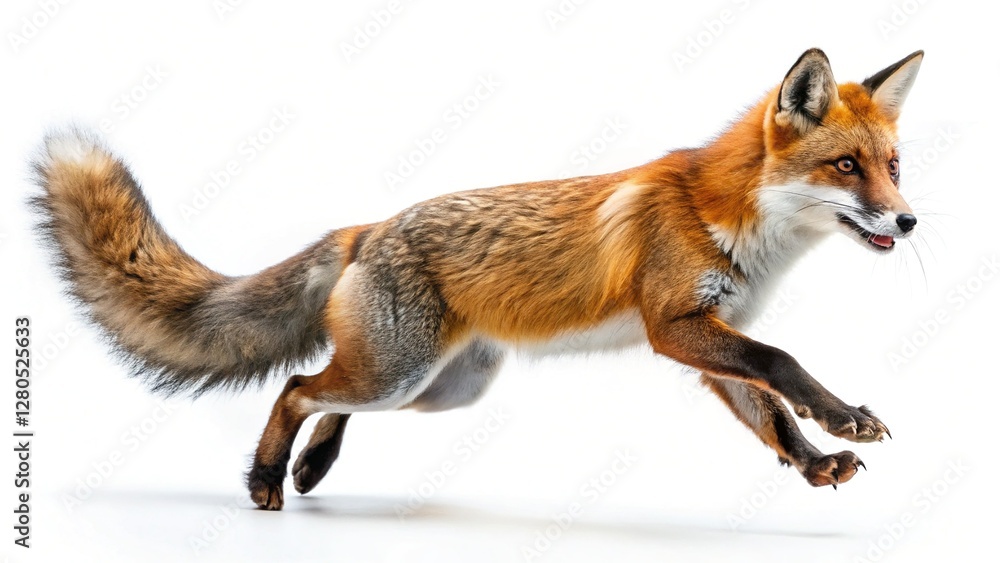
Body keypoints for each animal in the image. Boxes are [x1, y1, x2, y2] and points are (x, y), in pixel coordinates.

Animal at [32, 48, 923, 510]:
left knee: (324, 395)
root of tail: (368, 227)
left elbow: (769, 411)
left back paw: (313, 465)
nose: (911, 221)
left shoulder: (708, 337)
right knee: (295, 385)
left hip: (440, 388)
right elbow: (782, 364)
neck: (732, 217)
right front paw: (843, 419)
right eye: (847, 167)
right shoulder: (676, 325)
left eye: (894, 166)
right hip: (398, 373)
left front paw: (816, 459)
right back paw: (265, 477)